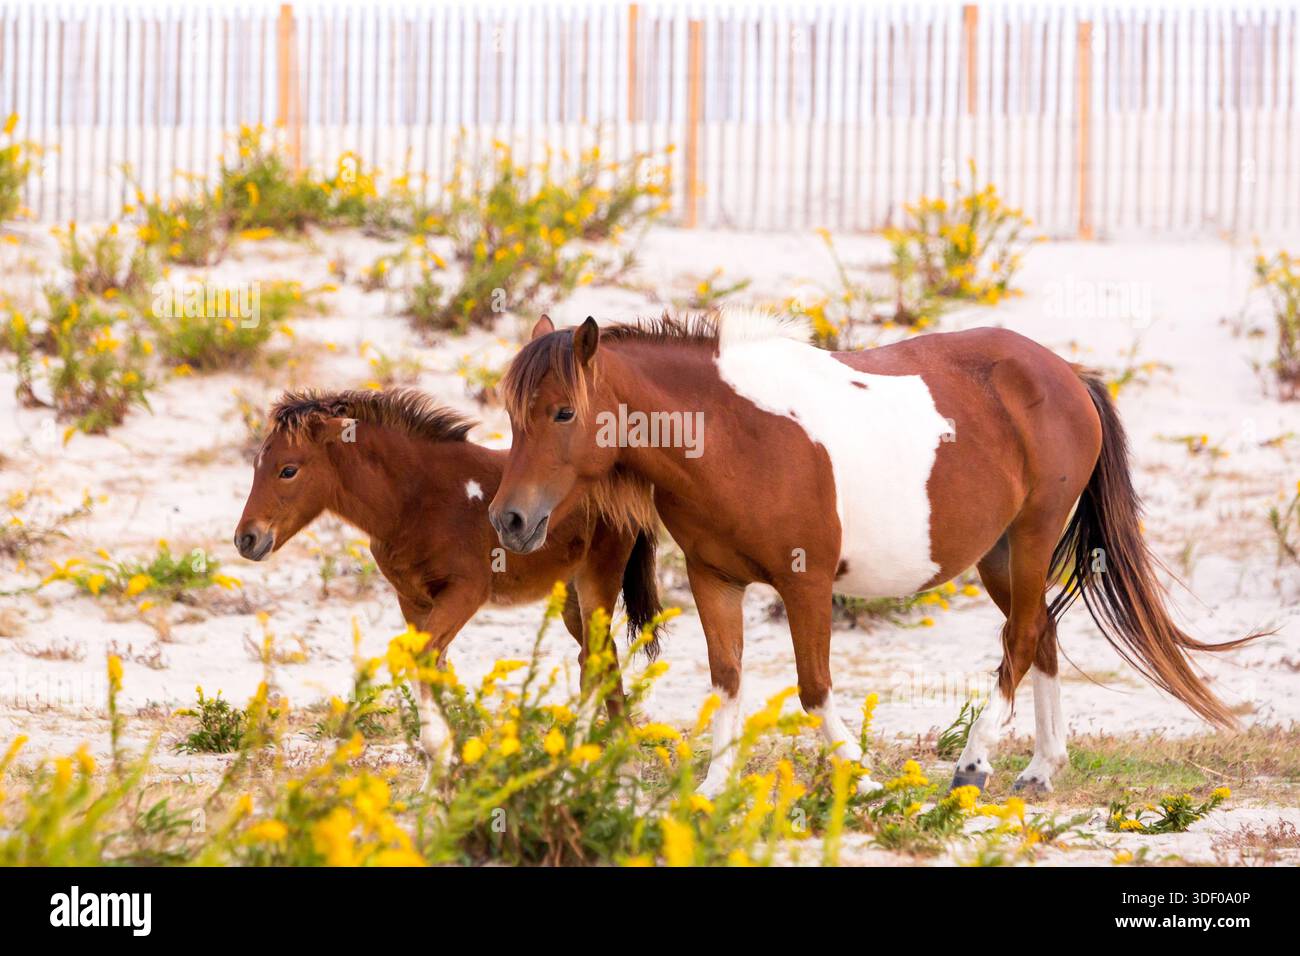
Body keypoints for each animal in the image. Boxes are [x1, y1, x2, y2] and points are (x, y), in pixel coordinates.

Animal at [233, 387, 662, 775]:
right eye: (254, 466)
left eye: (288, 470)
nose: (246, 539)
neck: (414, 499)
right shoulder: (412, 599)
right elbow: (430, 663)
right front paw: (440, 774)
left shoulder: (466, 591)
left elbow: (427, 658)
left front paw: (440, 758)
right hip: (572, 594)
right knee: (604, 656)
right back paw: (624, 764)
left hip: (598, 574)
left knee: (594, 658)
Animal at [487, 308, 1259, 797]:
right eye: (513, 415)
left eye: (564, 412)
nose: (510, 520)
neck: (737, 435)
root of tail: (1068, 375)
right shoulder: (716, 580)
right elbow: (728, 681)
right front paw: (712, 787)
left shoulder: (806, 584)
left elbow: (813, 687)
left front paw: (858, 772)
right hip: (1000, 554)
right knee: (1040, 632)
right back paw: (1040, 768)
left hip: (1034, 536)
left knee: (1020, 638)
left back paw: (975, 762)